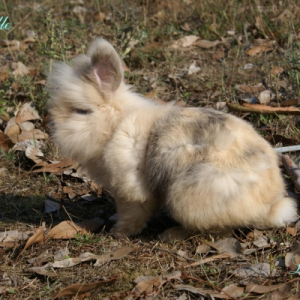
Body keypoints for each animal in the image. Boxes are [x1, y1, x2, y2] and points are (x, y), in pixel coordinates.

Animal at [47, 38, 298, 238]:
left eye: (81, 111)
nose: (53, 127)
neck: (114, 126)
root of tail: (272, 206)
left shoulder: (130, 192)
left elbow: (133, 215)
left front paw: (118, 232)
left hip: (188, 195)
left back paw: (172, 234)